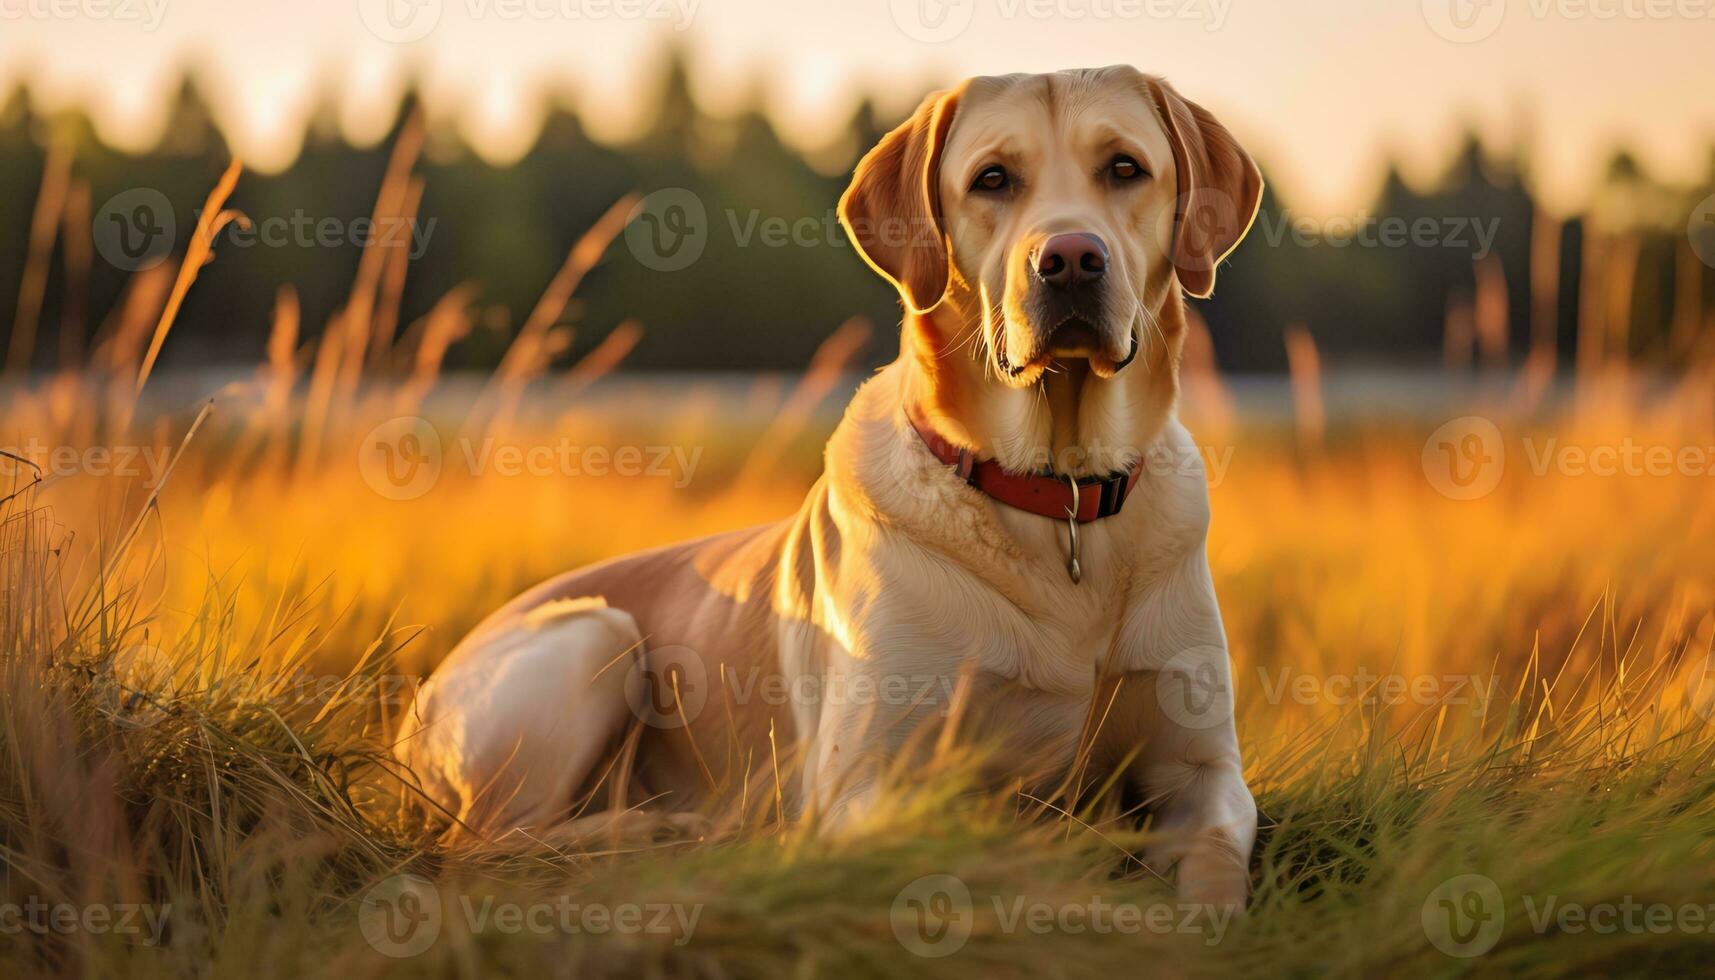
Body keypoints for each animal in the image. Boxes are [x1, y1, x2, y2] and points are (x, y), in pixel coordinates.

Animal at [397, 61, 1262, 906]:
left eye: (1124, 168)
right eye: (991, 179)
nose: (1071, 259)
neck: (1060, 499)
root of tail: (414, 707)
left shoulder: (1204, 772)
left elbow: (1216, 859)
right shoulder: (863, 781)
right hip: (591, 634)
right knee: (481, 847)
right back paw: (662, 829)